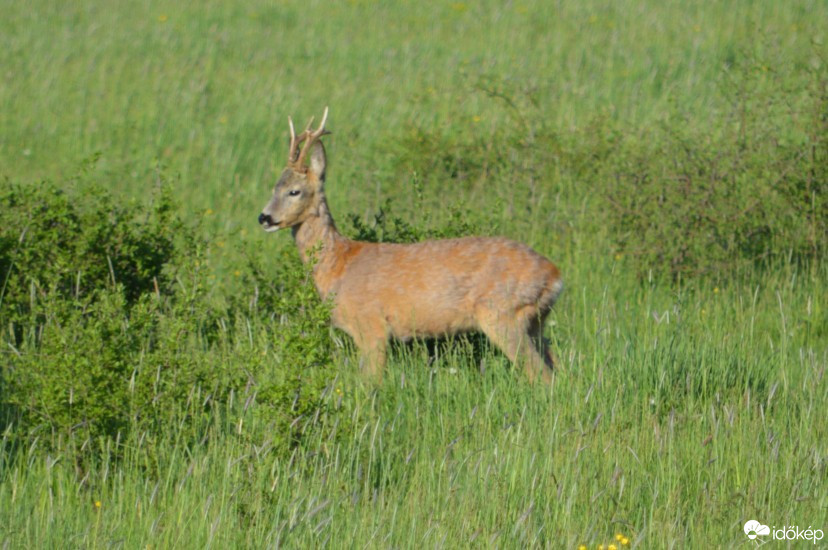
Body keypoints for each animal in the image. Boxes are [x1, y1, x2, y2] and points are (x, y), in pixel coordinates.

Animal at [260, 108, 564, 384]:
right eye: (273, 188)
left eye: (294, 191)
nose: (264, 217)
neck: (338, 265)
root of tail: (555, 276)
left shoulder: (371, 326)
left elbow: (370, 384)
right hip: (535, 322)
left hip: (503, 314)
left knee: (541, 374)